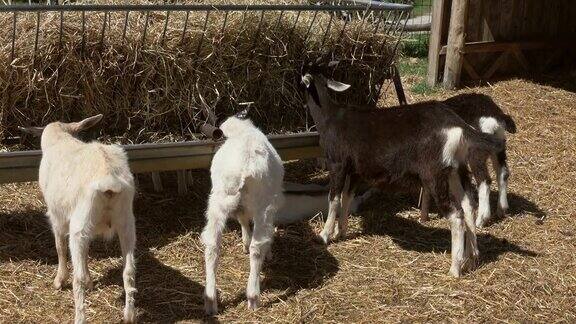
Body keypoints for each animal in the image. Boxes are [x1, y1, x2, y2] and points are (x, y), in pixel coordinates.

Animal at [19, 115, 137, 324]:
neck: (60, 138)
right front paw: (91, 280)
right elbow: (87, 251)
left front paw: (59, 280)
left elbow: (60, 247)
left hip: (80, 225)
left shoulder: (56, 216)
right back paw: (129, 315)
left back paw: (79, 316)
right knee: (129, 271)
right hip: (126, 222)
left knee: (78, 278)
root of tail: (109, 181)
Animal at [201, 114, 284, 314]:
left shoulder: (240, 207)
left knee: (212, 245)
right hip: (264, 205)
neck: (242, 130)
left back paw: (210, 300)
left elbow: (243, 220)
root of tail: (243, 167)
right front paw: (267, 252)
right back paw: (253, 297)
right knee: (258, 246)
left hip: (218, 201)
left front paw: (244, 242)